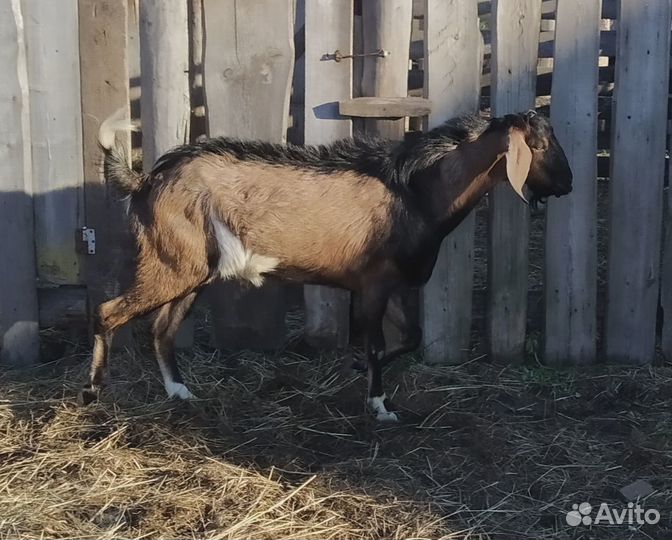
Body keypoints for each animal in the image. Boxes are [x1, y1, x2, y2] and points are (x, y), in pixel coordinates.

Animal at [79, 109, 572, 421]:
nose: (568, 183)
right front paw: (380, 406)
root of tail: (145, 179)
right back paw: (92, 392)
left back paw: (180, 392)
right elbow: (375, 345)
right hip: (169, 265)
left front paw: (359, 372)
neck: (415, 192)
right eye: (540, 143)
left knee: (161, 329)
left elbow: (409, 338)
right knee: (107, 312)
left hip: (192, 272)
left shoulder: (389, 285)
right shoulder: (373, 285)